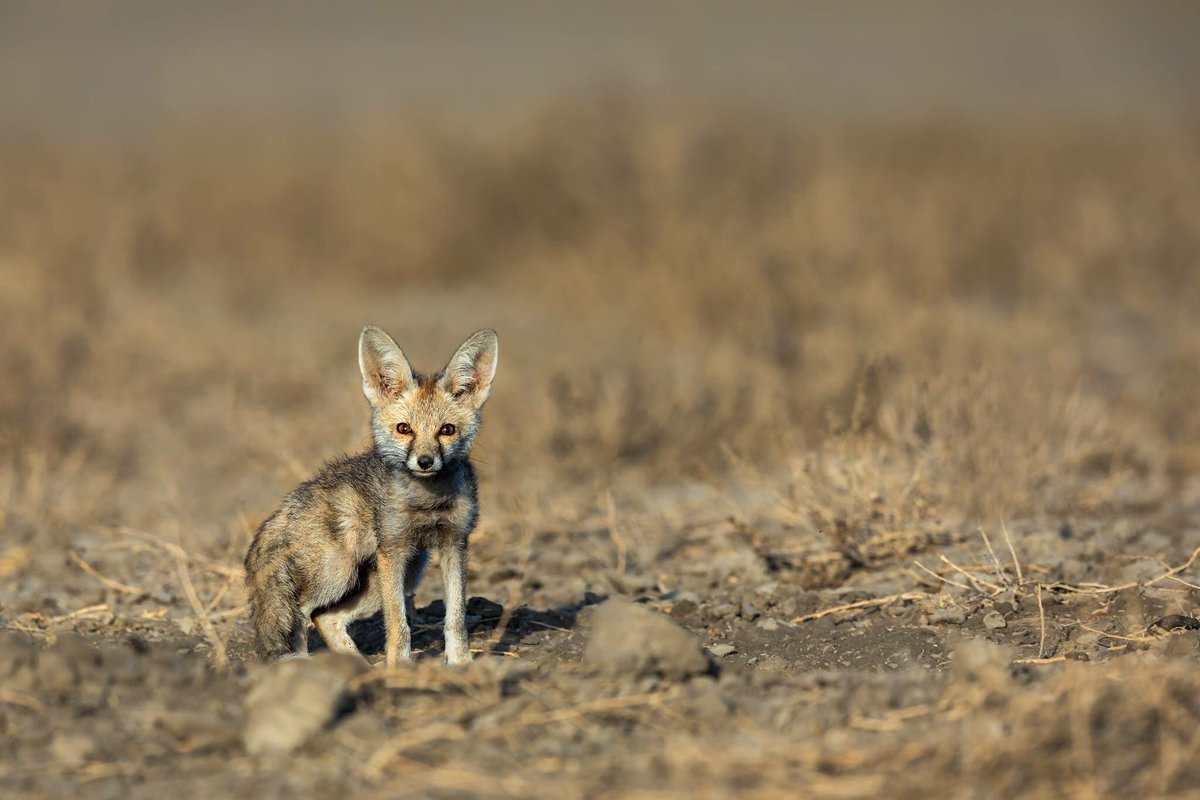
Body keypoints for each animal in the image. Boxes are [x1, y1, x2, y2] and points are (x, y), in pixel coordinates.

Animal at [243, 327, 499, 667]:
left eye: (447, 430)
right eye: (404, 429)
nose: (425, 461)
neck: (427, 504)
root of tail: (282, 510)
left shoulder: (454, 545)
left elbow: (455, 618)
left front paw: (460, 665)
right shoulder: (393, 551)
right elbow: (398, 624)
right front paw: (400, 668)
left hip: (398, 574)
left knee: (326, 618)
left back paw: (358, 668)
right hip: (339, 574)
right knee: (301, 612)